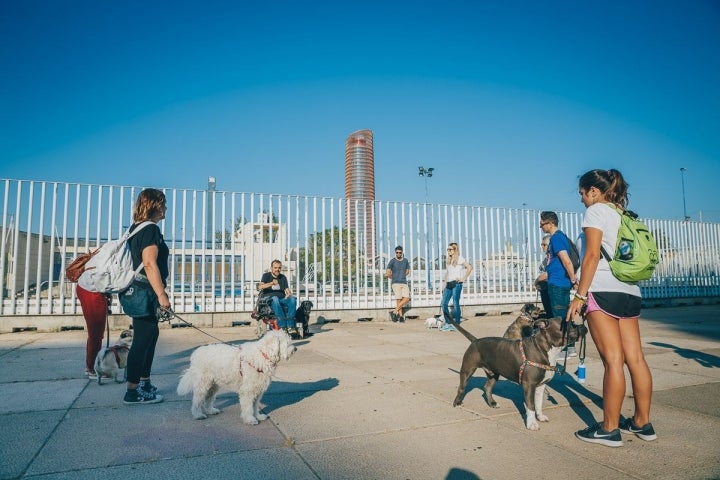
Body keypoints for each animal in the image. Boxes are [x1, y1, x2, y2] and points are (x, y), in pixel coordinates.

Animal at [450, 316, 584, 430]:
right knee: (462, 387)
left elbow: (539, 403)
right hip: (467, 370)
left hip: (494, 373)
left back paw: (492, 403)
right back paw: (457, 403)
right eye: (568, 324)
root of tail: (476, 340)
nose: (583, 326)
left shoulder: (541, 385)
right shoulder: (529, 386)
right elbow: (531, 406)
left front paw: (540, 417)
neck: (543, 348)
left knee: (487, 387)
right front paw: (532, 424)